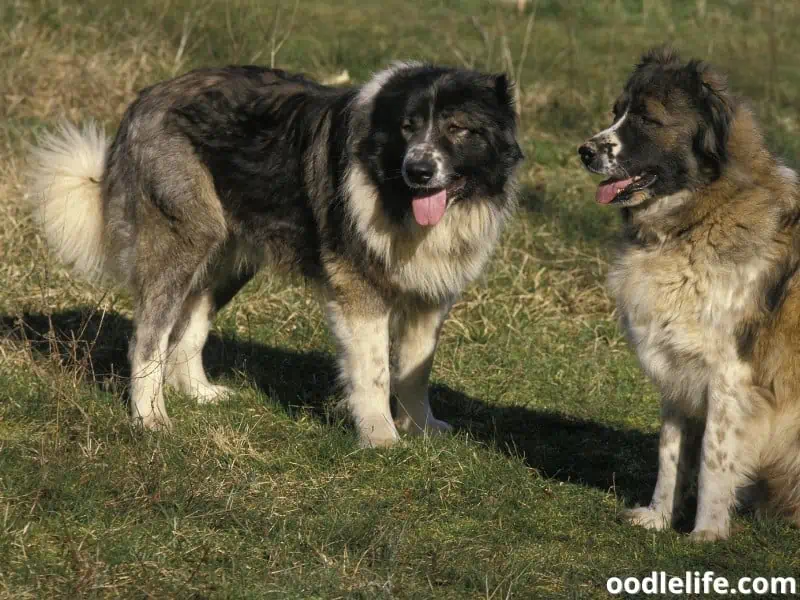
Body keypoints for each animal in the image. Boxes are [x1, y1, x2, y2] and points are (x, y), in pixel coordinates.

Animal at [26, 62, 524, 446]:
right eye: (408, 127)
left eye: (457, 129)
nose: (418, 170)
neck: (390, 189)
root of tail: (145, 100)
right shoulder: (359, 293)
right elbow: (376, 370)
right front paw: (381, 437)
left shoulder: (429, 297)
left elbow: (416, 371)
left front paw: (421, 429)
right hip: (185, 241)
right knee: (148, 337)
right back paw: (151, 418)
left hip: (228, 259)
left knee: (189, 328)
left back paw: (200, 393)